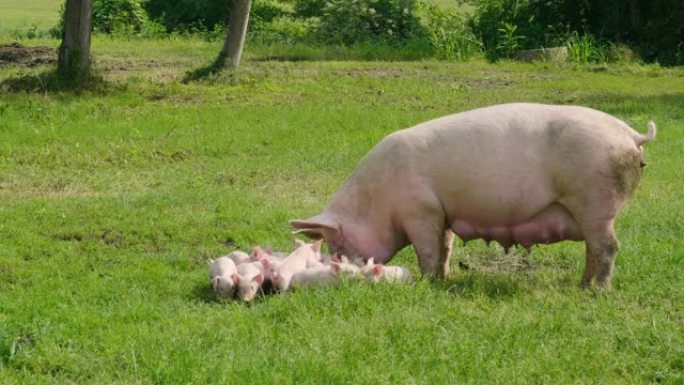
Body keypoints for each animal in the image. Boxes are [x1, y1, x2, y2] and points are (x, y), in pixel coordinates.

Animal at [290, 103, 656, 286]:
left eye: (337, 245)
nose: (337, 268)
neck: (376, 199)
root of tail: (631, 135)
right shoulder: (443, 212)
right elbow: (446, 247)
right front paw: (444, 278)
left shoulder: (420, 211)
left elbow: (427, 250)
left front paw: (427, 281)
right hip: (593, 209)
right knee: (595, 249)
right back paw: (582, 284)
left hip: (595, 201)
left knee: (607, 247)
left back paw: (597, 291)